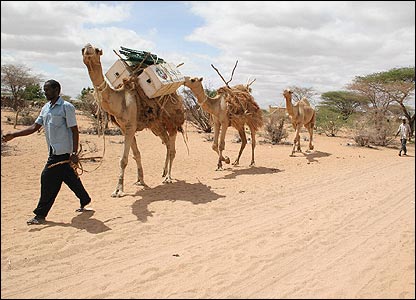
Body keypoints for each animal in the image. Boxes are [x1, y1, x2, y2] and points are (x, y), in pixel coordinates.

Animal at [81, 42, 185, 197]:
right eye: (82, 49)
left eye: (97, 50)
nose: (88, 49)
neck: (119, 99)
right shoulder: (125, 128)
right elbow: (136, 154)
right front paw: (140, 180)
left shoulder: (130, 126)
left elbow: (123, 160)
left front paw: (118, 190)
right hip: (156, 126)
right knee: (166, 143)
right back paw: (163, 172)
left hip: (172, 123)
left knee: (172, 149)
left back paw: (168, 177)